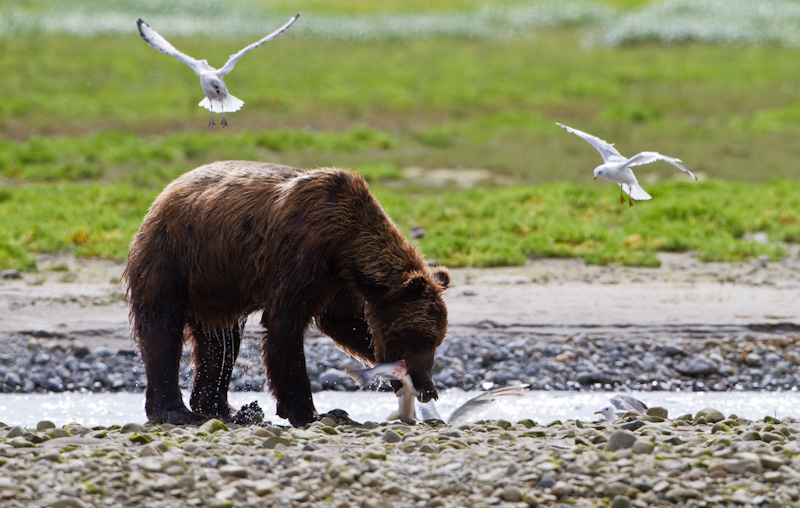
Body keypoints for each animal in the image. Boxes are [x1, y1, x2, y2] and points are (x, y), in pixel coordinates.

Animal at [125, 161, 450, 426]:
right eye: (420, 338)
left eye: (435, 340)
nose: (425, 388)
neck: (347, 245)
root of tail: (163, 195)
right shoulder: (302, 252)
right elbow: (285, 324)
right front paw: (315, 412)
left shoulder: (338, 283)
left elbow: (346, 322)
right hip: (173, 257)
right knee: (162, 329)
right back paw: (176, 411)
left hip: (214, 285)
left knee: (220, 342)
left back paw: (229, 409)